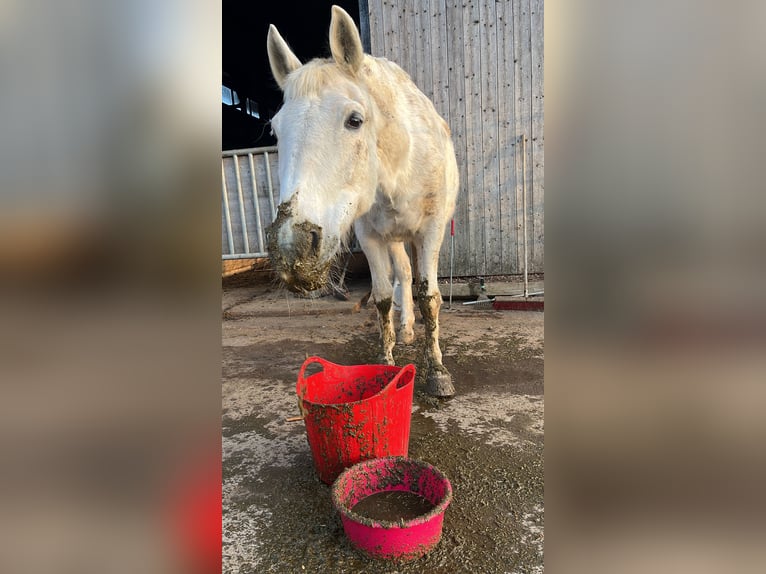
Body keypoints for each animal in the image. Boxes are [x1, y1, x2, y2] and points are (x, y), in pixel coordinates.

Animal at [268, 6, 460, 398]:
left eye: (354, 120)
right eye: (275, 130)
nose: (292, 247)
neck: (400, 166)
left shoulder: (431, 231)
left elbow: (430, 296)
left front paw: (437, 372)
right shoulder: (370, 237)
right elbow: (383, 297)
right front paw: (385, 362)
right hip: (394, 239)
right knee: (403, 275)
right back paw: (406, 330)